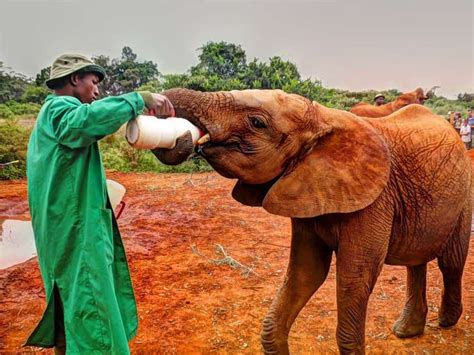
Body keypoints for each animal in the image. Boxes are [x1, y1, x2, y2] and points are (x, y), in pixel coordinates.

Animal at [153, 88, 470, 354]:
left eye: (257, 122)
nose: (184, 135)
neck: (323, 118)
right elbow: (306, 271)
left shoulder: (375, 199)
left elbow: (355, 278)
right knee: (415, 260)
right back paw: (406, 331)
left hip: (465, 197)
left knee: (451, 261)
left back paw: (446, 321)